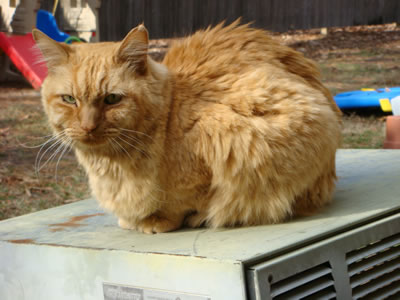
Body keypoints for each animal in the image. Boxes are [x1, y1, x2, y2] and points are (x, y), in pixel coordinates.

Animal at [33, 21, 340, 233]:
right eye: (69, 100)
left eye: (111, 99)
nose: (87, 127)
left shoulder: (232, 138)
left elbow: (186, 200)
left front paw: (160, 220)